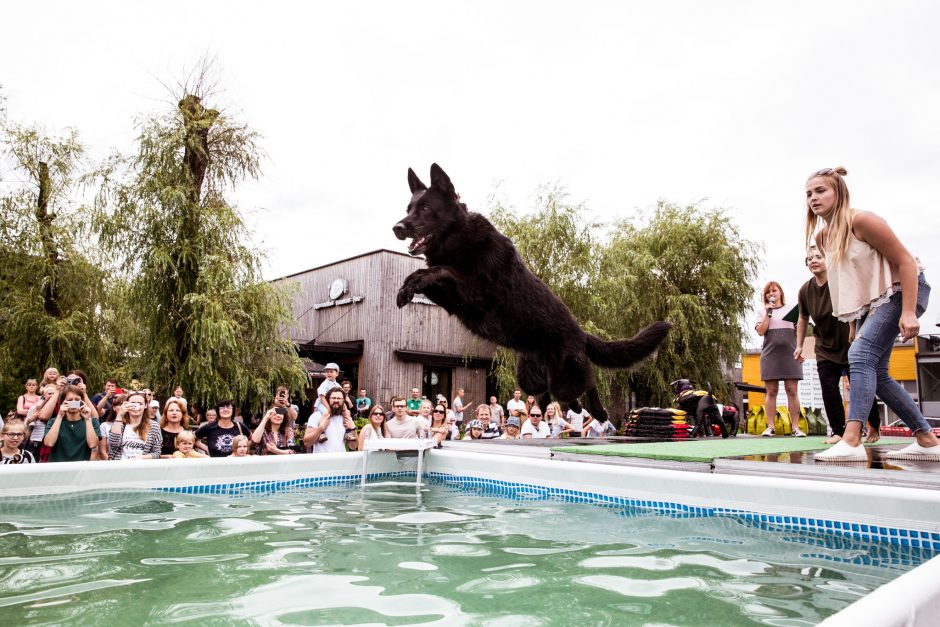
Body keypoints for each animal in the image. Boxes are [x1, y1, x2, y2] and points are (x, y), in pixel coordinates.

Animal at [392, 164, 672, 424]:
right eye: (408, 208)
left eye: (425, 208)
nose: (397, 227)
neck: (460, 238)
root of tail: (581, 333)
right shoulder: (453, 301)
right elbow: (427, 272)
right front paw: (406, 288)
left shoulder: (475, 291)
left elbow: (443, 270)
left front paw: (415, 281)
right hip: (530, 379)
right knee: (555, 391)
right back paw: (578, 407)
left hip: (565, 376)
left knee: (587, 381)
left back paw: (599, 412)